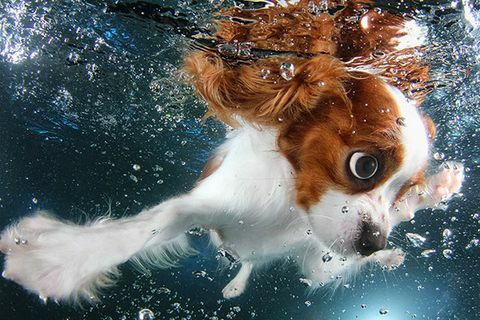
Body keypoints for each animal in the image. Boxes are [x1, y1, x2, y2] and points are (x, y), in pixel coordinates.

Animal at [0, 0, 464, 304]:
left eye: (400, 188)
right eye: (365, 165)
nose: (373, 242)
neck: (292, 208)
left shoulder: (323, 250)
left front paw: (419, 198)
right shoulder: (218, 201)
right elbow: (155, 223)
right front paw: (56, 257)